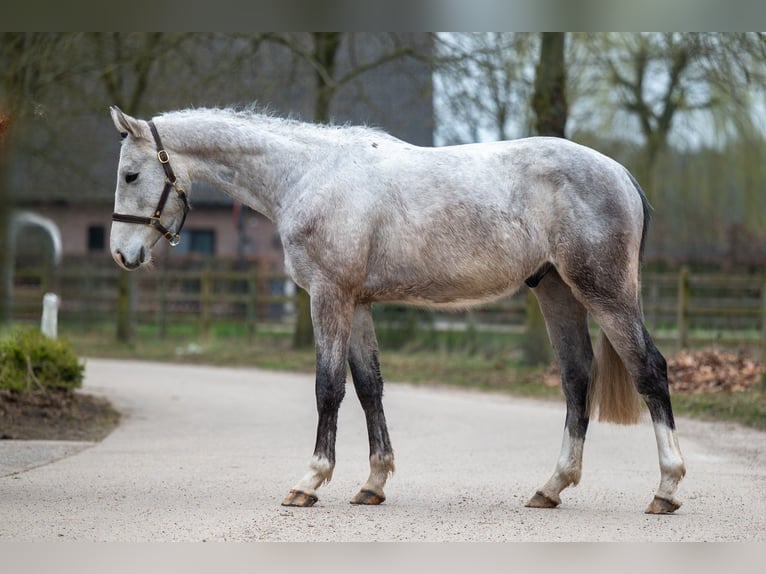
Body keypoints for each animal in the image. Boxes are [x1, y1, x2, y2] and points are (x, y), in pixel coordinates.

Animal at [109, 106, 688, 516]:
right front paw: (373, 483)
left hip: (603, 293)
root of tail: (620, 174)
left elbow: (328, 387)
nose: (122, 254)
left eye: (132, 175)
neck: (309, 173)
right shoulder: (358, 304)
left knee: (649, 370)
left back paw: (665, 489)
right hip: (557, 292)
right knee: (576, 379)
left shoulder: (329, 296)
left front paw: (310, 481)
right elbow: (369, 388)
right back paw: (551, 487)